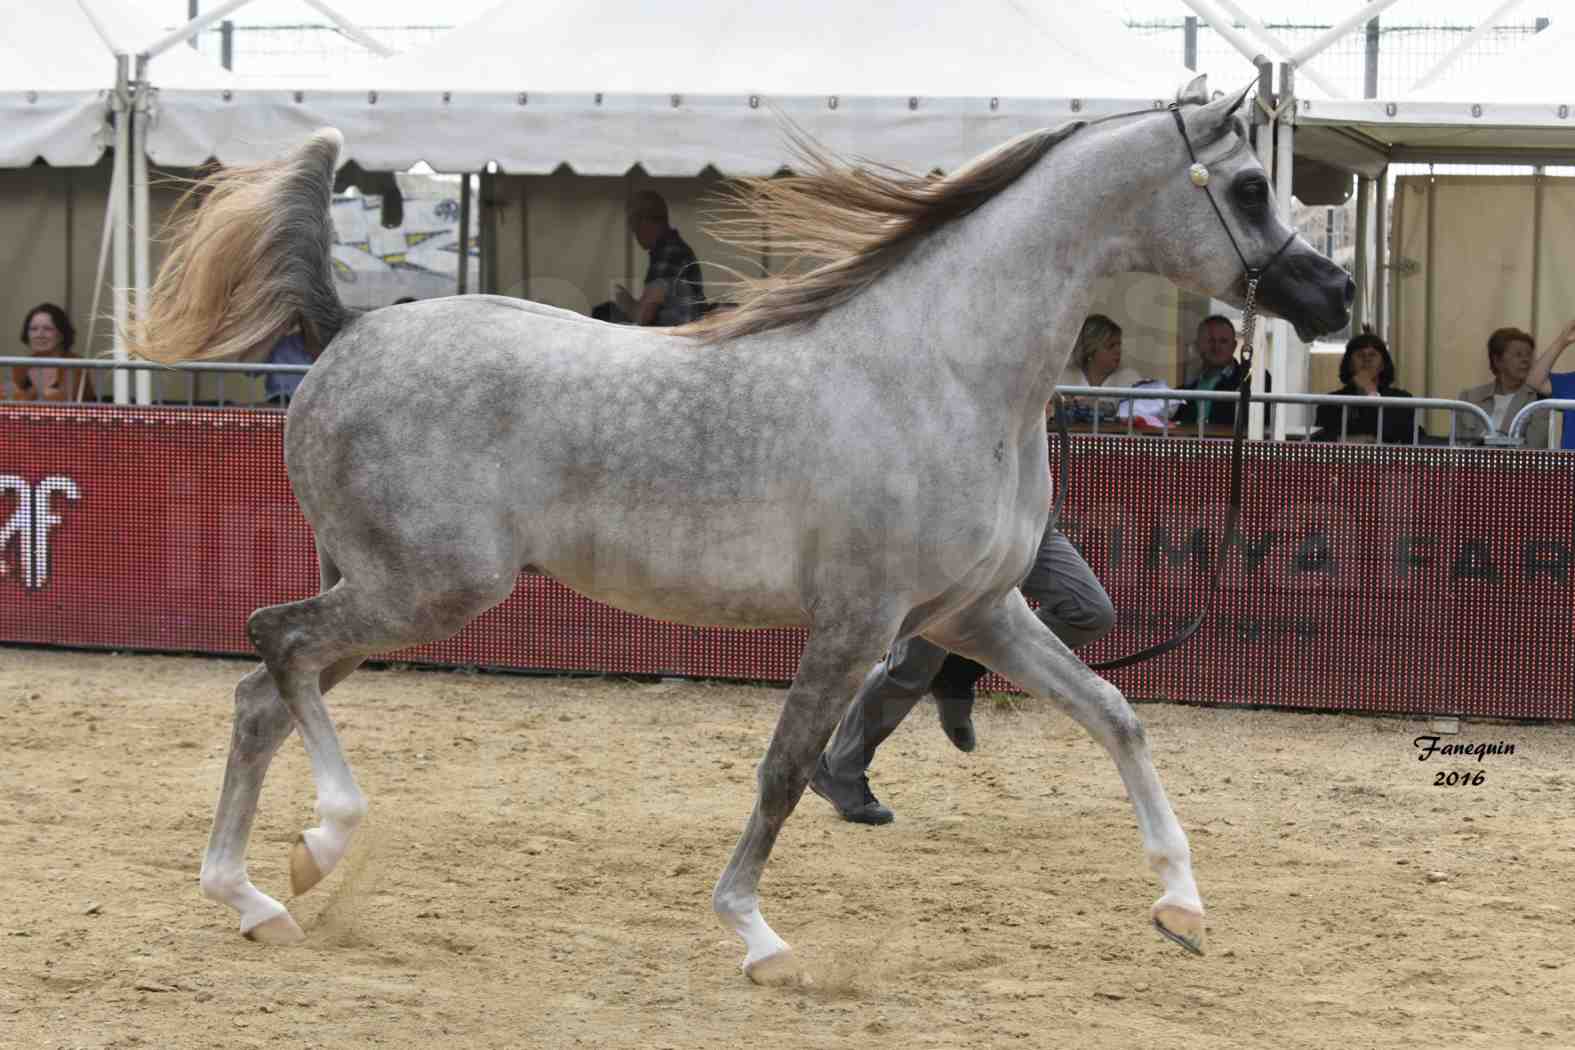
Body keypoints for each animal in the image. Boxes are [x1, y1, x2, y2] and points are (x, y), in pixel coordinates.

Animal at [129, 80, 1348, 988]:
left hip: (385, 591)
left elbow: (1116, 717)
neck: (944, 374)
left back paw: (257, 898)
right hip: (425, 591)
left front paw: (1181, 904)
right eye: (1249, 185)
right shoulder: (856, 621)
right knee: (274, 642)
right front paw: (757, 937)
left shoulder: (977, 614)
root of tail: (347, 330)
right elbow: (785, 769)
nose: (1332, 295)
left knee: (262, 693)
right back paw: (326, 839)